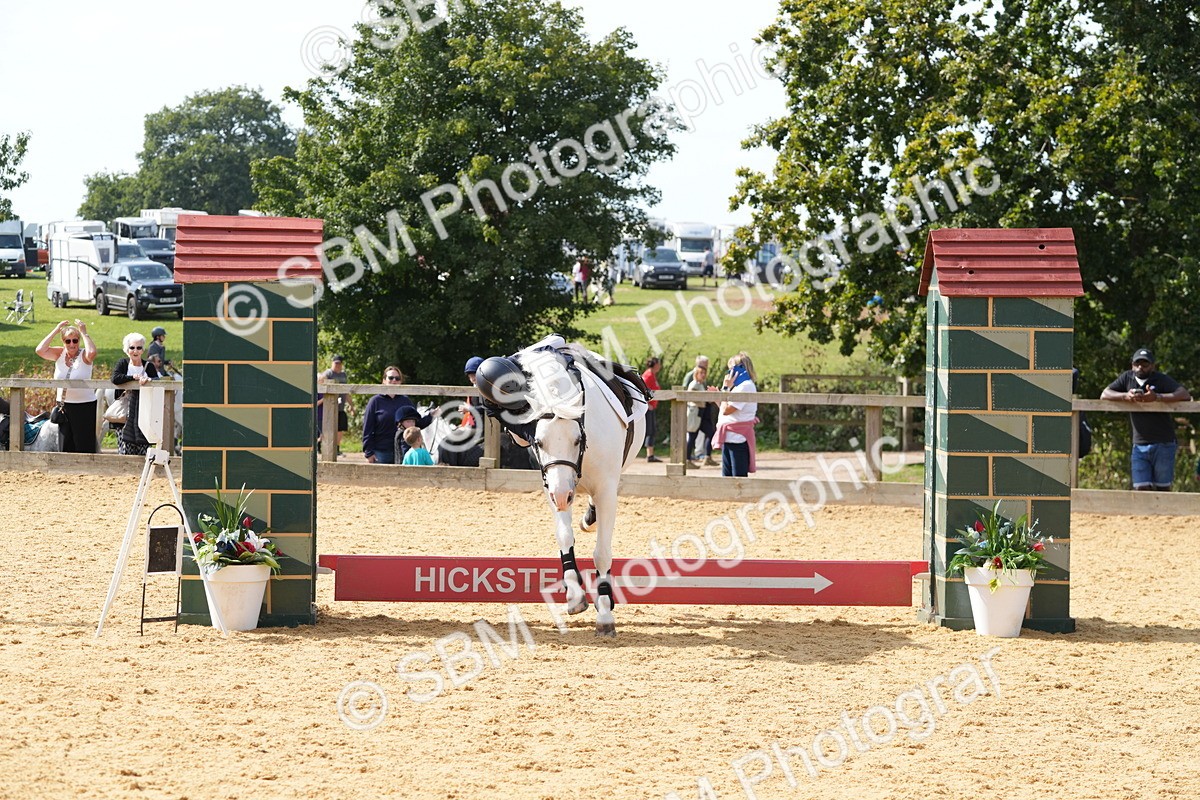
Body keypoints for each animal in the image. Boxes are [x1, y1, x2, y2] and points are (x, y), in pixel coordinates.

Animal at [516, 343, 648, 636]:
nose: (562, 495)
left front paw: (605, 615)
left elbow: (602, 553)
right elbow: (565, 536)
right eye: (538, 442)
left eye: (577, 439)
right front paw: (575, 596)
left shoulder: (606, 490)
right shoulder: (554, 487)